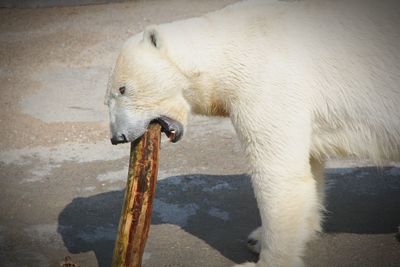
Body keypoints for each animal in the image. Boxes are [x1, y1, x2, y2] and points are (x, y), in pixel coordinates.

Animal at [105, 1, 400, 266]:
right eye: (107, 100)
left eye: (122, 89)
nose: (117, 137)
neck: (226, 51)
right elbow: (308, 165)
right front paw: (261, 238)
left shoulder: (268, 83)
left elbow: (278, 176)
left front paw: (265, 259)